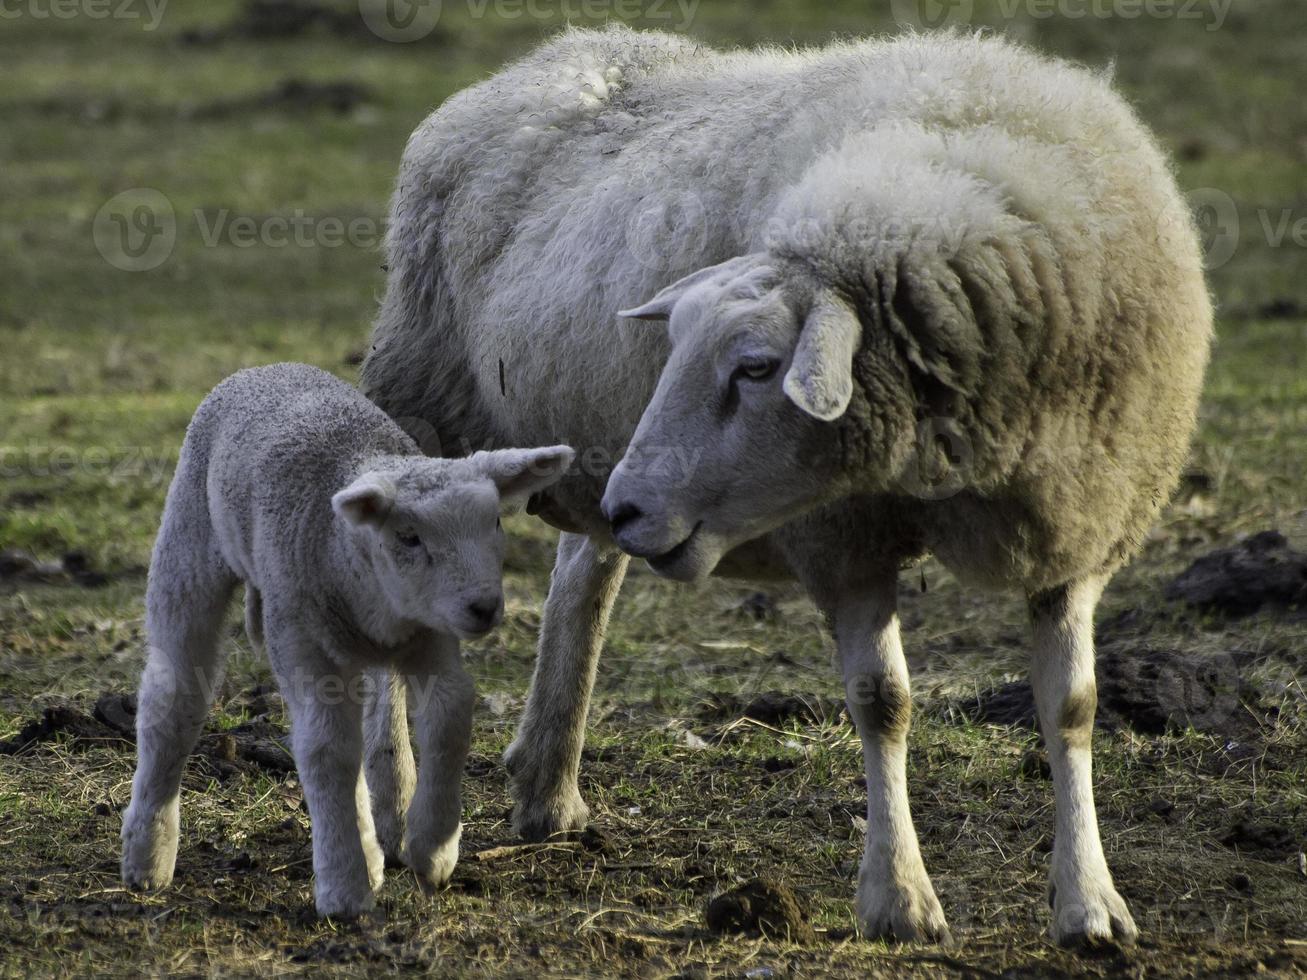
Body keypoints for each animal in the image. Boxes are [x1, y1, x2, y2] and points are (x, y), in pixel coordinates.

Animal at [120, 363, 569, 919]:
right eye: (408, 538)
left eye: (496, 521)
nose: (484, 607)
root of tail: (264, 369)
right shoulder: (303, 640)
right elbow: (326, 751)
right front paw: (344, 891)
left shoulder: (432, 636)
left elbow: (449, 719)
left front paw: (432, 850)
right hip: (190, 546)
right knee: (174, 695)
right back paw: (147, 857)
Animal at [360, 28, 1212, 951]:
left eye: (757, 368)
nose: (631, 504)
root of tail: (549, 54)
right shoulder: (843, 537)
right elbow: (883, 704)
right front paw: (898, 898)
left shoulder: (1078, 526)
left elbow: (1073, 707)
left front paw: (1089, 903)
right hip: (420, 406)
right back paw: (394, 809)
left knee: (582, 580)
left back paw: (546, 790)